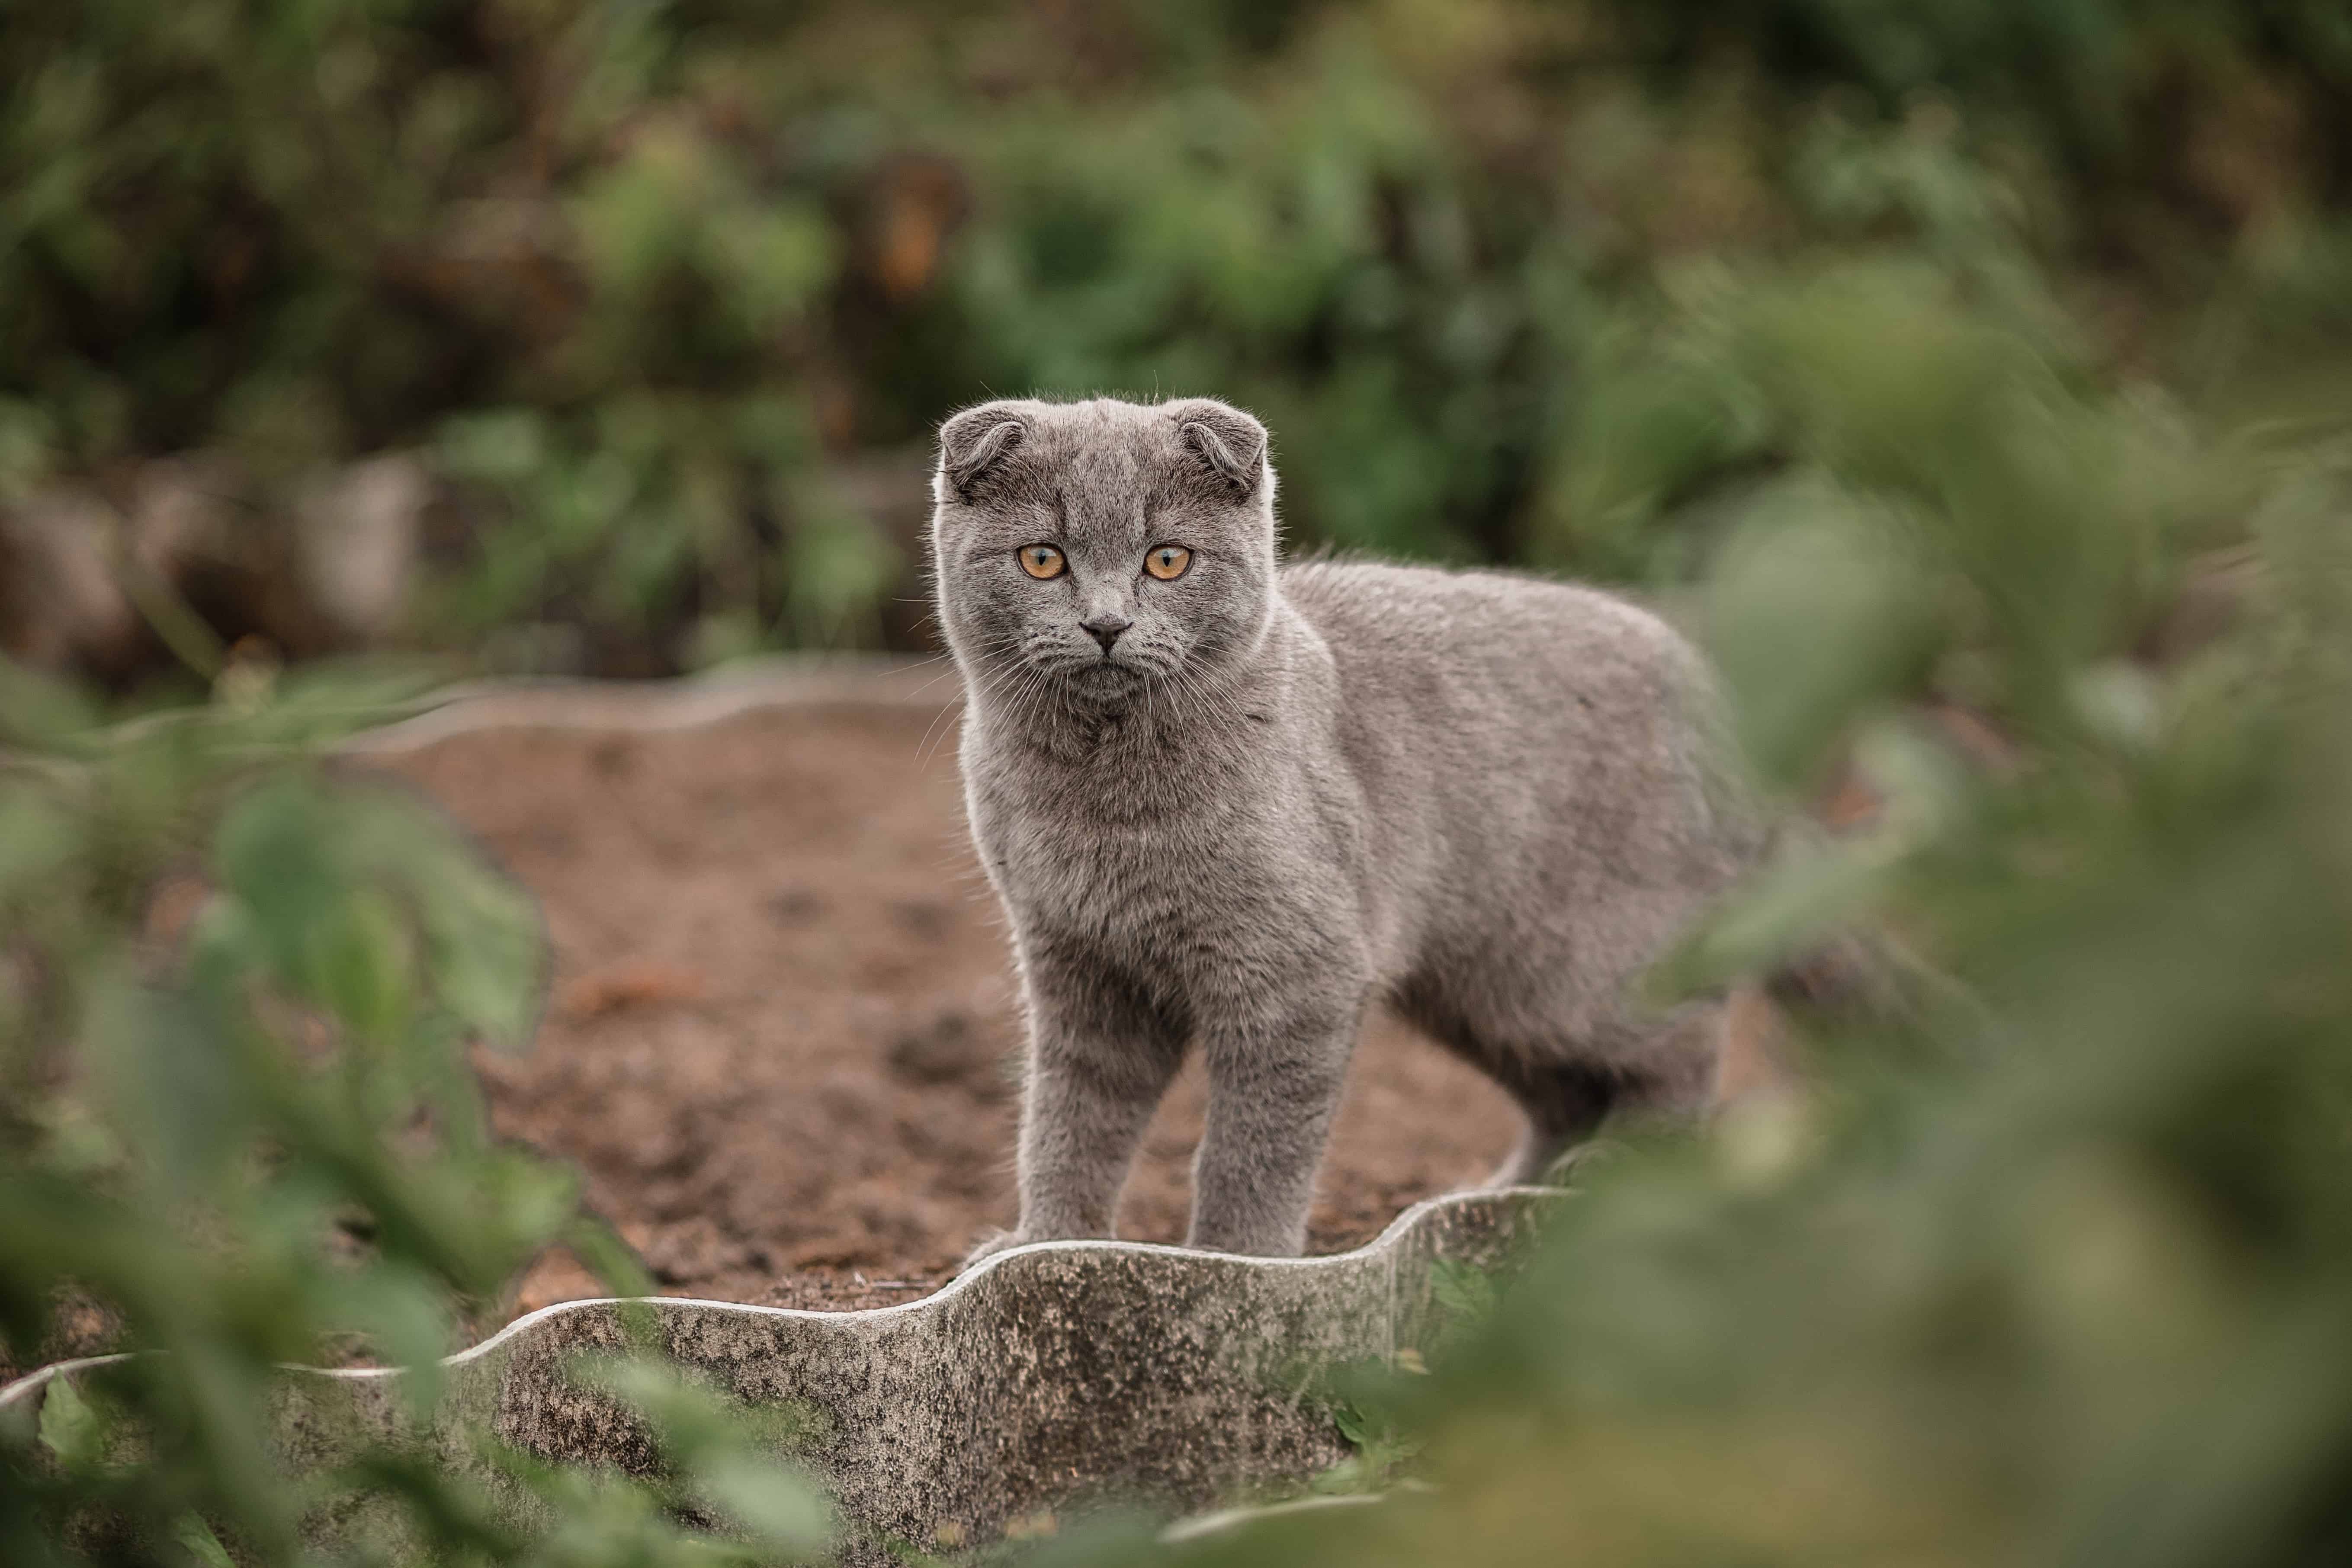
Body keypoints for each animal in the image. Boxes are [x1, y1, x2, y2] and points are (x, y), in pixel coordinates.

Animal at [927, 395, 1759, 1260]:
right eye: (1042, 560)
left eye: (1167, 561)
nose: (1105, 623)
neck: (1103, 806)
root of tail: (1715, 702)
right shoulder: (1076, 962)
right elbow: (1070, 1118)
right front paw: (1043, 1242)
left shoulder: (1300, 971)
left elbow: (1252, 1146)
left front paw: (1234, 1261)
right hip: (1476, 987)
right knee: (1566, 1093)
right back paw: (1505, 1192)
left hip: (1574, 971)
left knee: (1686, 1043)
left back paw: (1623, 1167)